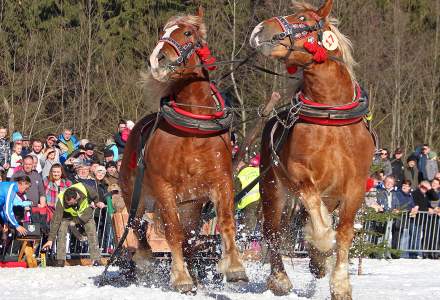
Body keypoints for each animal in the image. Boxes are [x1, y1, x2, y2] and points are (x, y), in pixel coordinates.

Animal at [117, 8, 248, 292]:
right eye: (162, 32)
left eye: (187, 33)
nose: (157, 59)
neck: (193, 131)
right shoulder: (164, 189)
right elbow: (172, 232)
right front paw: (180, 277)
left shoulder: (221, 181)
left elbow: (226, 222)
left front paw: (234, 267)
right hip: (136, 197)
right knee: (139, 228)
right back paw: (146, 261)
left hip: (190, 205)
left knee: (189, 237)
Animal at [251, 1, 374, 298]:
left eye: (303, 18)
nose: (259, 30)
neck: (331, 118)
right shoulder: (299, 176)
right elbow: (320, 224)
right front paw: (320, 247)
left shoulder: (355, 185)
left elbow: (344, 232)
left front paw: (339, 283)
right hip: (272, 189)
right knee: (272, 230)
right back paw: (280, 279)